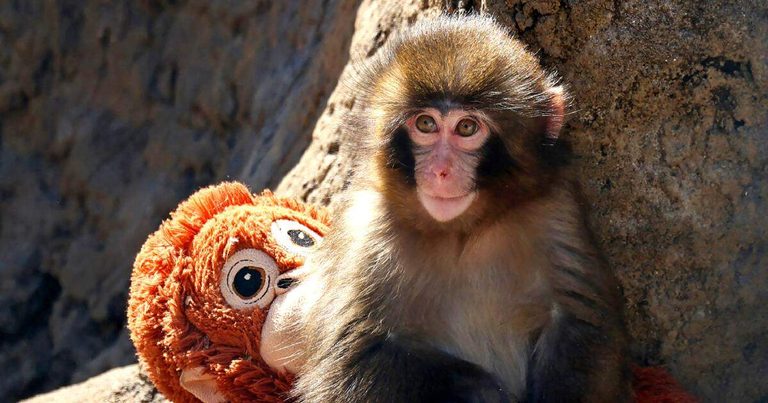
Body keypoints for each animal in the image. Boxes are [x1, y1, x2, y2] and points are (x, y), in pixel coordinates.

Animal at [265, 14, 631, 403]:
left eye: (467, 127)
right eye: (426, 124)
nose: (441, 170)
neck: (461, 231)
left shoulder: (556, 211)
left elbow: (580, 323)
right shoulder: (367, 232)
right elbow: (351, 360)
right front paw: (480, 389)